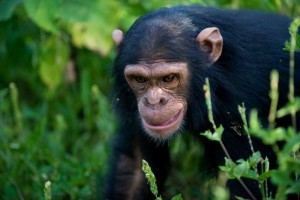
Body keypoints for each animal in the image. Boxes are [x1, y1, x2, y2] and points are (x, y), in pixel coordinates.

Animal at [102, 5, 298, 199]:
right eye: (140, 79)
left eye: (169, 78)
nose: (154, 101)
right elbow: (134, 169)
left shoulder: (240, 108)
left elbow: (244, 181)